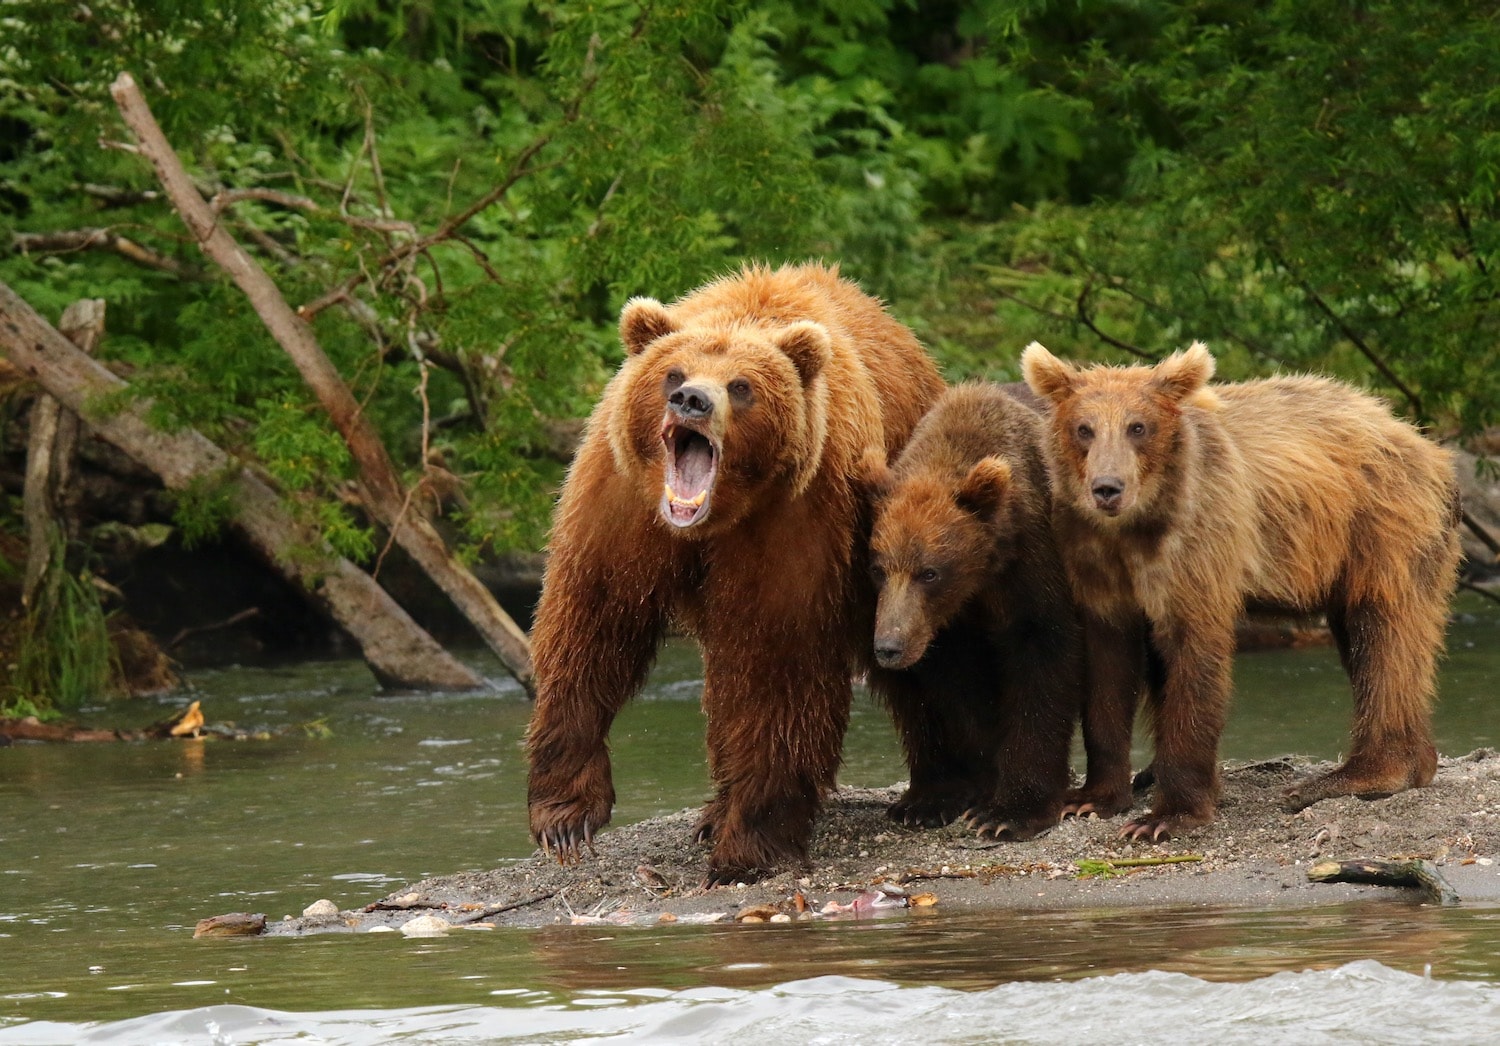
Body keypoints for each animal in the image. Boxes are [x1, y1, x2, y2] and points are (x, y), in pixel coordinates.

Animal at [528, 261, 942, 882]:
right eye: (672, 372)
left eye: (742, 386)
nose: (691, 400)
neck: (710, 521)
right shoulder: (620, 506)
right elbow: (591, 624)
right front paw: (565, 817)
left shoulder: (799, 520)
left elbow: (776, 670)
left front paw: (747, 849)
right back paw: (711, 811)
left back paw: (936, 792)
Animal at [1026, 342, 1458, 840]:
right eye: (1084, 428)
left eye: (1138, 426)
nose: (1107, 488)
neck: (1137, 528)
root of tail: (1421, 441)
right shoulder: (1092, 560)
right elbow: (1107, 665)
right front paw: (1090, 798)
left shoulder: (1201, 542)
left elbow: (1194, 657)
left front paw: (1165, 815)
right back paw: (1413, 763)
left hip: (1380, 525)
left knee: (1384, 637)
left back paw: (1354, 776)